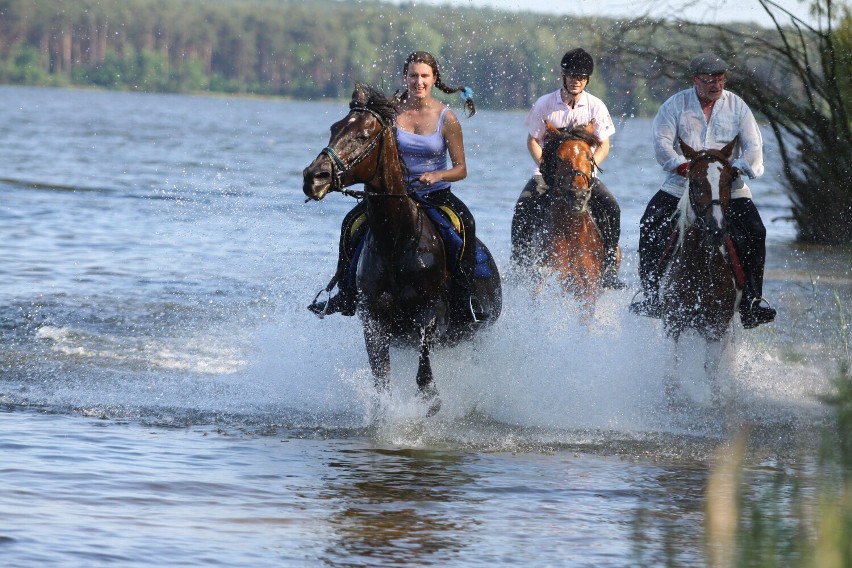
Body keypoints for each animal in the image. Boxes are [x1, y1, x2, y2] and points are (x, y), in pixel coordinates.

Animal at [302, 83, 502, 412]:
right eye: (334, 128)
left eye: (364, 135)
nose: (313, 177)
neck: (396, 242)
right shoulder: (374, 322)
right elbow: (382, 380)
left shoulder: (431, 316)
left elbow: (424, 373)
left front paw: (431, 402)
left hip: (474, 335)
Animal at [660, 139, 744, 400]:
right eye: (695, 182)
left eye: (728, 180)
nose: (716, 228)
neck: (700, 267)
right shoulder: (672, 321)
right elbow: (670, 374)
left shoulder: (717, 327)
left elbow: (711, 372)